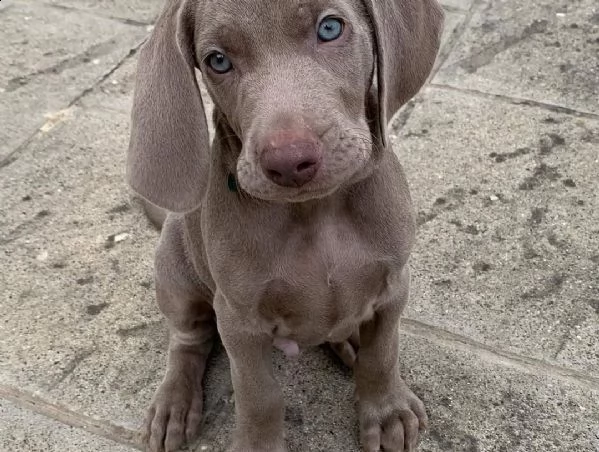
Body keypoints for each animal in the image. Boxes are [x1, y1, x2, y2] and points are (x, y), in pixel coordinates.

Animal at [127, 0, 446, 452]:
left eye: (330, 28)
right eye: (217, 61)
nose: (289, 160)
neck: (316, 211)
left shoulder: (394, 284)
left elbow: (383, 353)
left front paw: (387, 412)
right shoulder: (238, 319)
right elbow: (258, 393)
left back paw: (351, 338)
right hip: (175, 270)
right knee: (188, 338)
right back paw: (175, 402)